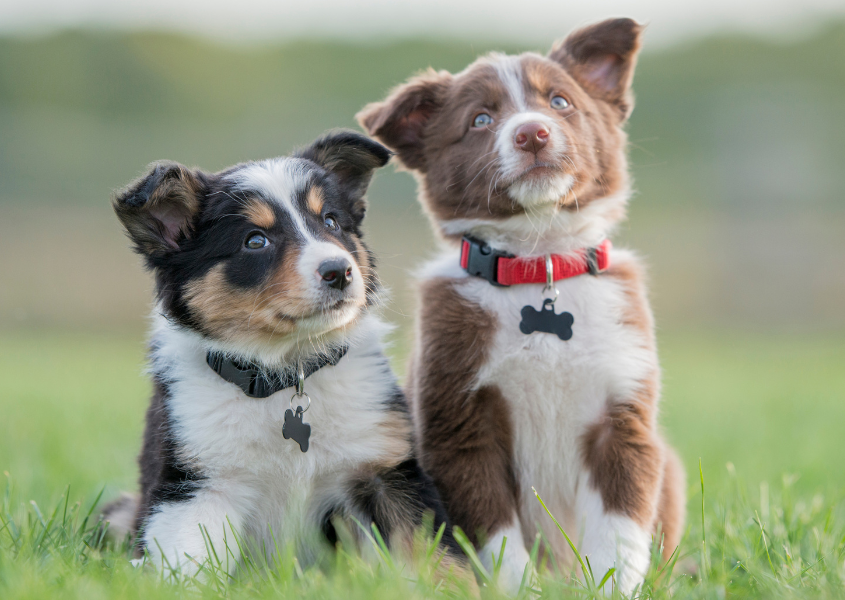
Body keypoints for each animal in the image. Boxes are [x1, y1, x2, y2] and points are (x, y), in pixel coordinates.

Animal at [105, 131, 468, 580]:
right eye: (255, 241)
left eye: (331, 222)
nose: (340, 271)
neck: (286, 373)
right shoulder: (195, 485)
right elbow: (189, 563)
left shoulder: (387, 470)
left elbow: (439, 557)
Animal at [360, 18, 684, 596]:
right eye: (480, 120)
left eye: (559, 102)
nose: (532, 133)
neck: (540, 264)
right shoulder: (460, 425)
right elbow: (497, 538)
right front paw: (521, 587)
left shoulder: (623, 415)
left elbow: (620, 530)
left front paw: (611, 585)